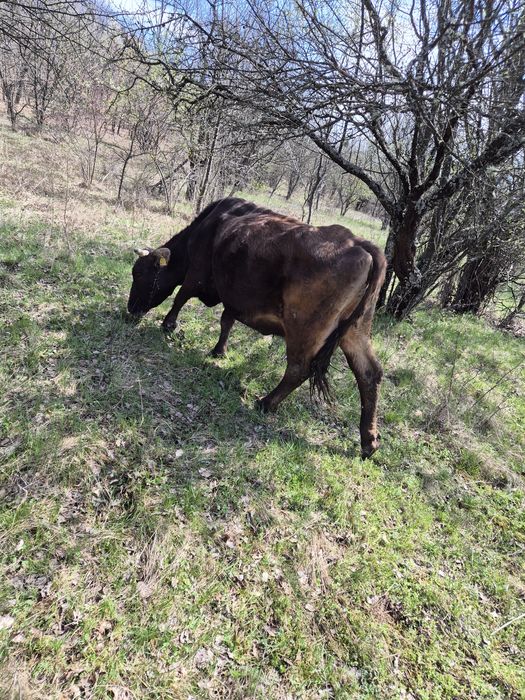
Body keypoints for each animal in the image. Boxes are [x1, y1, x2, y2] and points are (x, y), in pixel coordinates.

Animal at [127, 198, 386, 458]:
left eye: (138, 273)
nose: (131, 309)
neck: (210, 226)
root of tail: (359, 243)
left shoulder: (197, 273)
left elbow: (181, 296)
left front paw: (168, 325)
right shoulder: (233, 297)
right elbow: (226, 320)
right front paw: (219, 350)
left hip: (304, 329)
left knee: (298, 369)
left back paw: (266, 403)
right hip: (356, 331)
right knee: (369, 373)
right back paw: (369, 441)